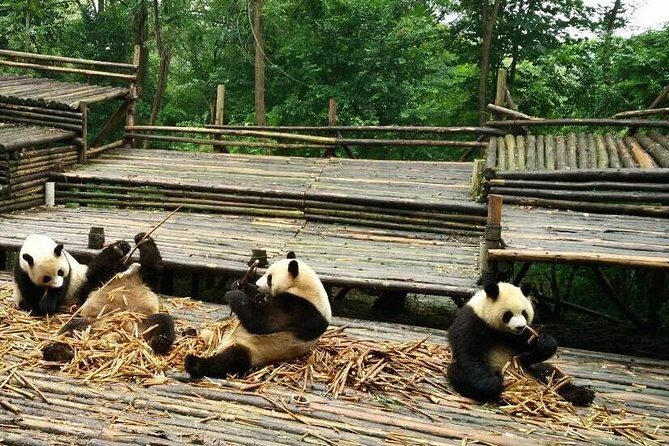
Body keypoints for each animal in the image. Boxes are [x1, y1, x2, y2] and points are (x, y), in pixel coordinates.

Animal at [40, 233, 175, 360]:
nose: (133, 265)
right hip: (94, 322)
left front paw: (143, 239)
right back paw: (58, 350)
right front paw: (120, 247)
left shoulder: (147, 281)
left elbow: (153, 267)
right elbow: (96, 271)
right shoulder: (98, 283)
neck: (126, 276)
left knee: (163, 321)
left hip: (142, 323)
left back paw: (160, 342)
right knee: (71, 329)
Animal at [184, 251, 331, 378]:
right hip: (218, 334)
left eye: (270, 278)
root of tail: (219, 345)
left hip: (253, 350)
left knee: (230, 359)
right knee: (208, 332)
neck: (305, 289)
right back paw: (189, 332)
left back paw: (193, 363)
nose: (258, 284)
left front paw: (235, 295)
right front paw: (239, 284)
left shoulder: (301, 310)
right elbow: (257, 299)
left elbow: (263, 322)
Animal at [447, 281, 595, 406]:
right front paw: (494, 382)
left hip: (533, 370)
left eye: (524, 313)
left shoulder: (519, 336)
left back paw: (582, 394)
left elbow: (529, 350)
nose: (520, 326)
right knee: (458, 374)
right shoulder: (473, 321)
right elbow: (470, 354)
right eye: (508, 314)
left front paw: (544, 342)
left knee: (552, 373)